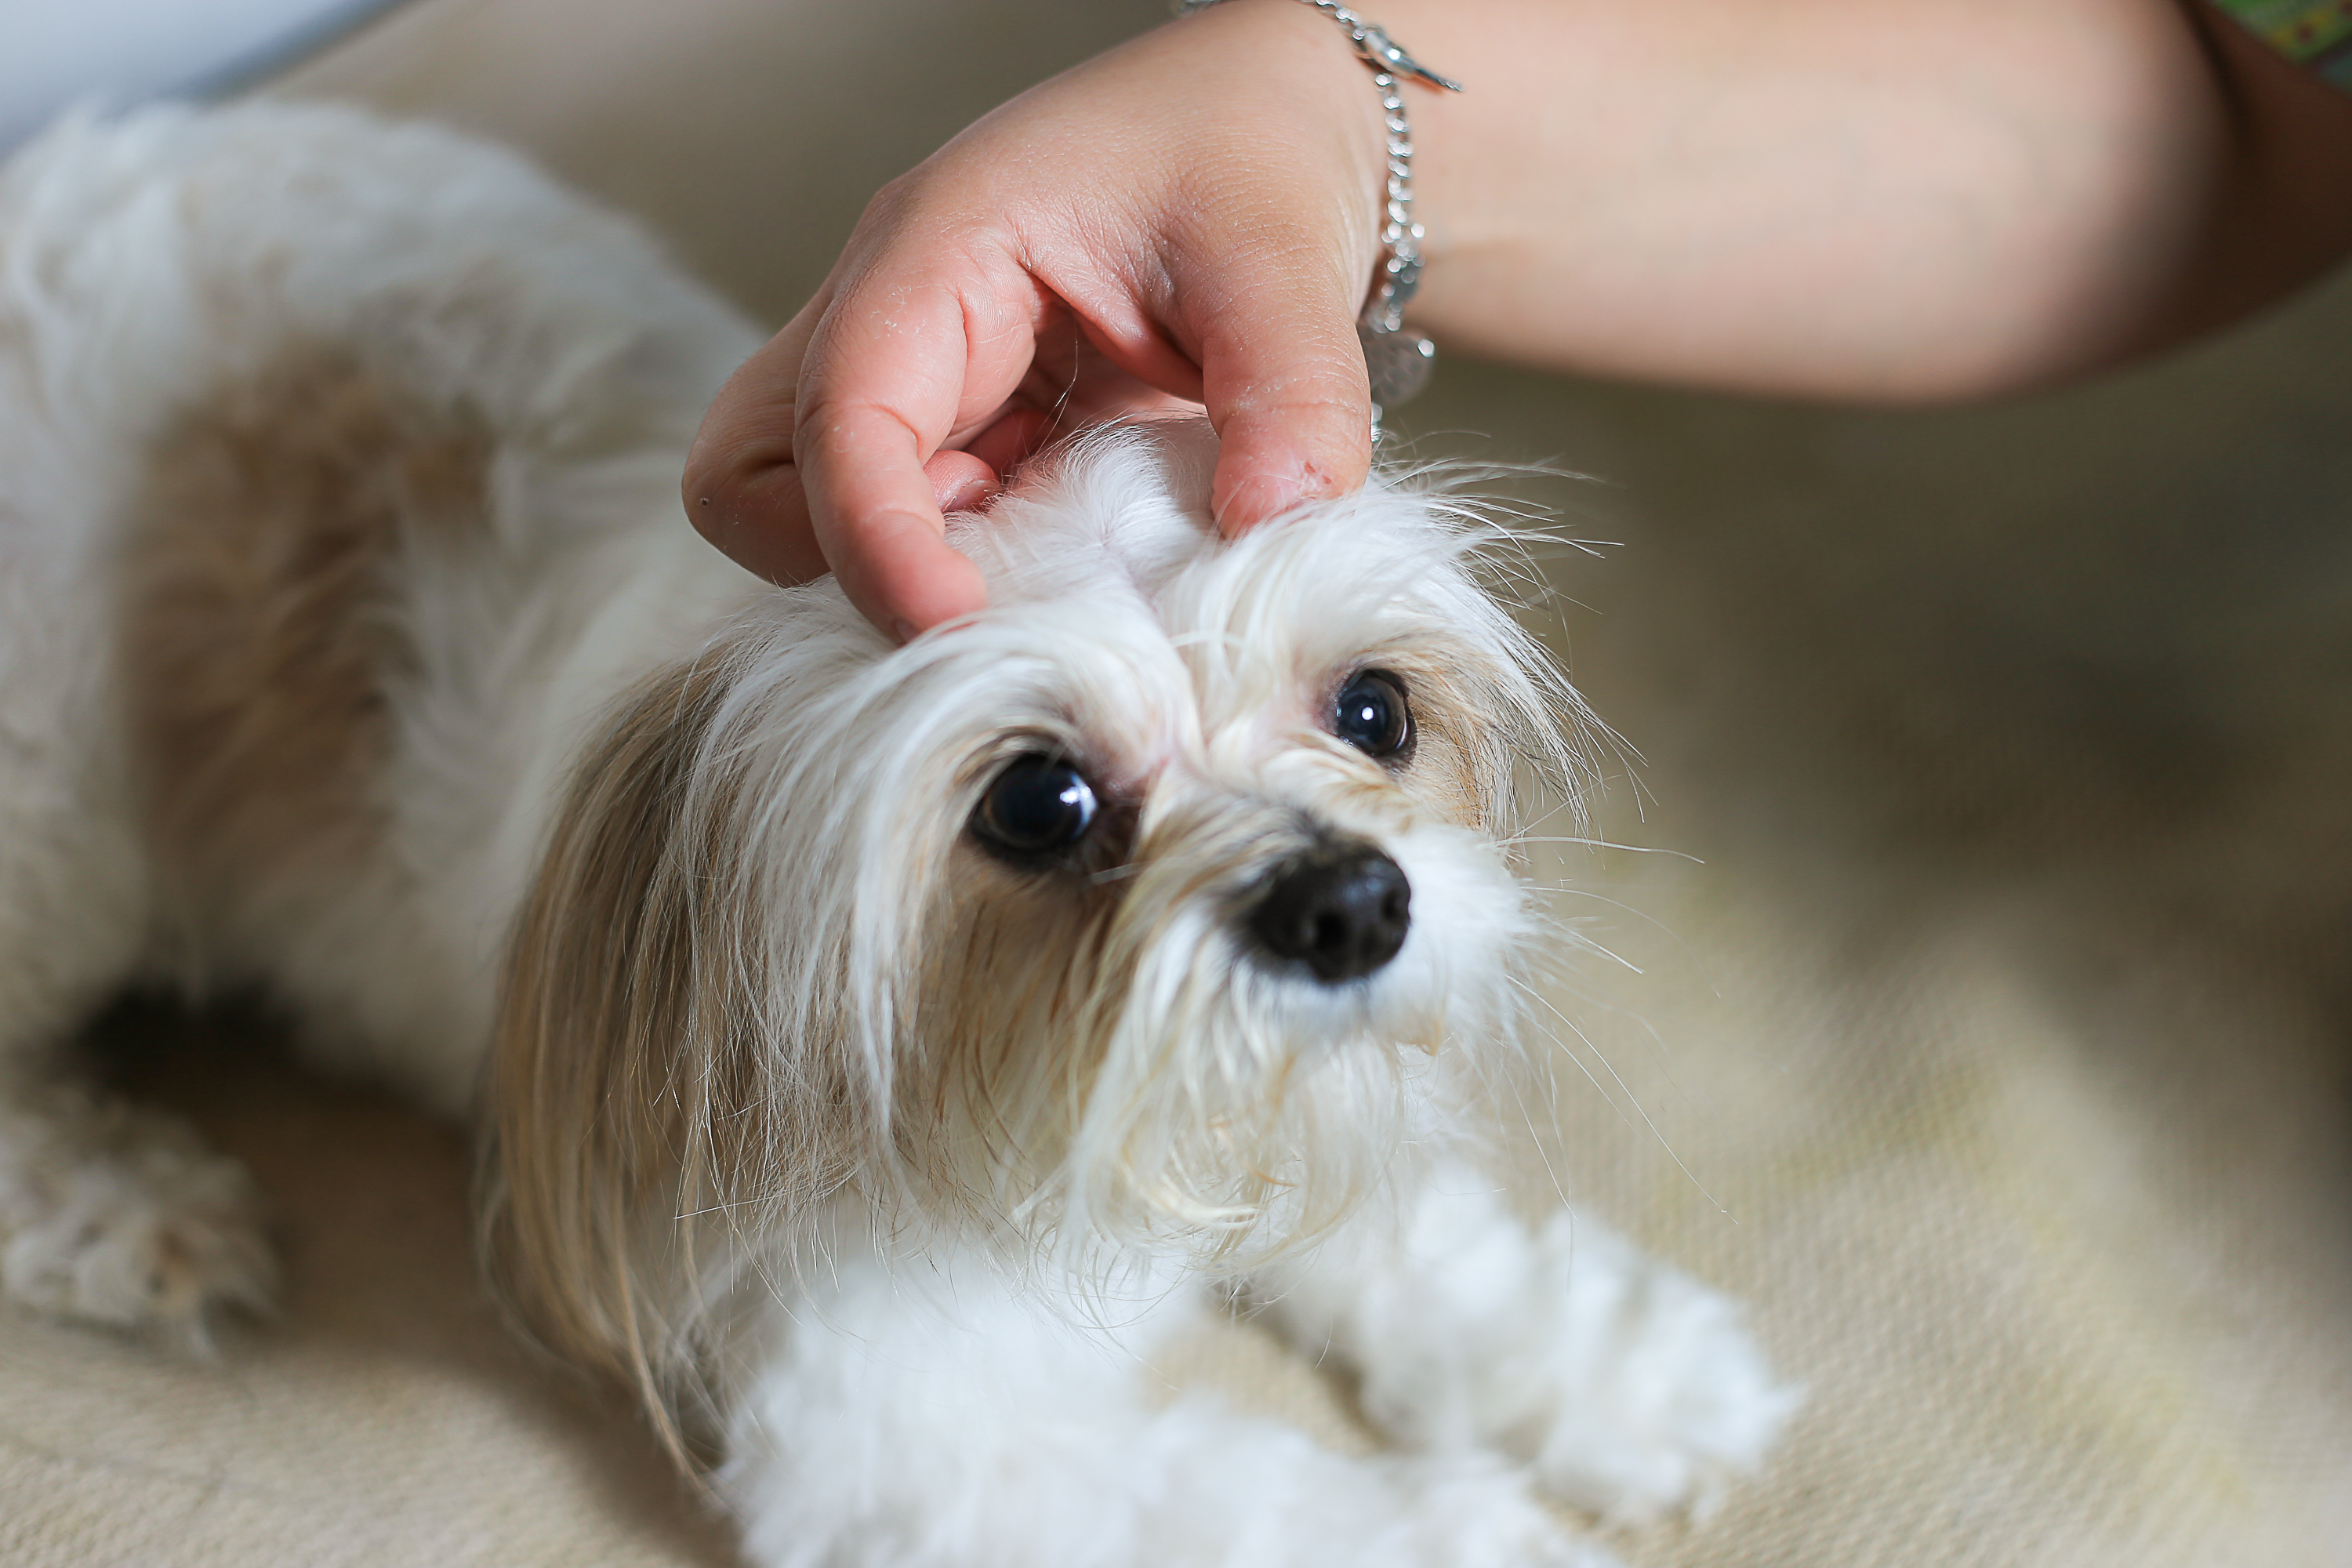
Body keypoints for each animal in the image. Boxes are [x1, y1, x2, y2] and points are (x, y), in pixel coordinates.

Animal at [0, 103, 1788, 1561]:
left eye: (1372, 713)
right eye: (1041, 804)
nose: (1348, 903)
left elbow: (1424, 1246)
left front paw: (1608, 1371)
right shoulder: (921, 1458)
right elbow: (1272, 1505)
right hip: (59, 826)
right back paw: (127, 1206)